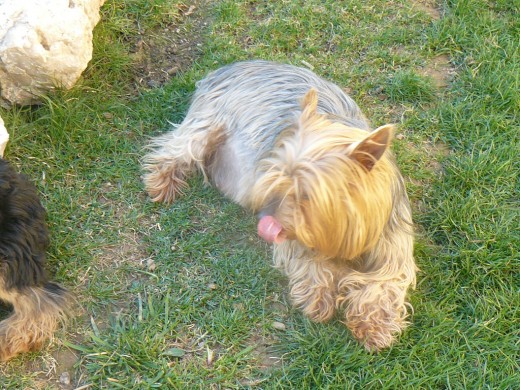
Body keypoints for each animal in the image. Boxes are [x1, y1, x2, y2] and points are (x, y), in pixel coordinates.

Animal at [142, 60, 418, 350]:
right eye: (276, 180)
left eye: (307, 195)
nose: (264, 217)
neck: (345, 229)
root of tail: (228, 67)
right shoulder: (297, 236)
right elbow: (308, 260)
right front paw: (318, 296)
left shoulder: (393, 245)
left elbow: (385, 283)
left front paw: (375, 325)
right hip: (207, 121)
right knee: (176, 147)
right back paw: (162, 181)